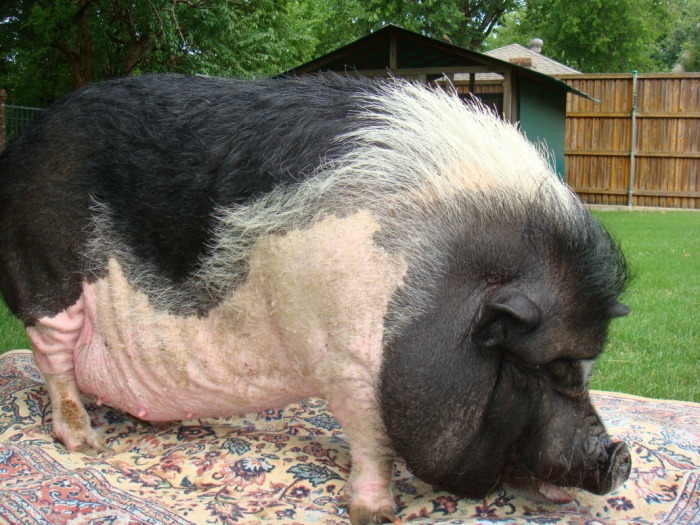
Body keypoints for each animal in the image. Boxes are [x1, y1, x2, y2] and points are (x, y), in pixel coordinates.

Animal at [0, 73, 631, 525]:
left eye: (587, 367)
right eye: (545, 368)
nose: (619, 456)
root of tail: (19, 147)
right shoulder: (347, 361)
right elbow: (372, 440)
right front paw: (374, 513)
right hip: (47, 282)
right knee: (51, 362)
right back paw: (87, 442)